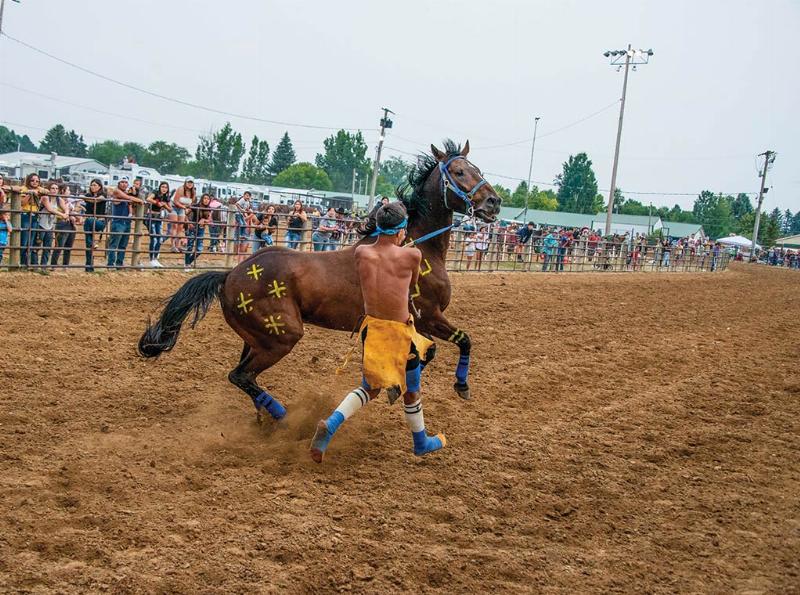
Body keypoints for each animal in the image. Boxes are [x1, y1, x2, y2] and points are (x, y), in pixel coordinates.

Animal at [138, 139, 501, 421]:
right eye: (459, 172)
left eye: (478, 169)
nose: (493, 202)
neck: (414, 245)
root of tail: (229, 275)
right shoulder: (429, 315)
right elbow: (459, 342)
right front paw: (458, 386)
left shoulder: (413, 323)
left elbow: (426, 354)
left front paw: (396, 388)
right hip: (281, 338)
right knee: (240, 375)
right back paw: (281, 416)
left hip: (256, 339)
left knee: (243, 377)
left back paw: (263, 416)